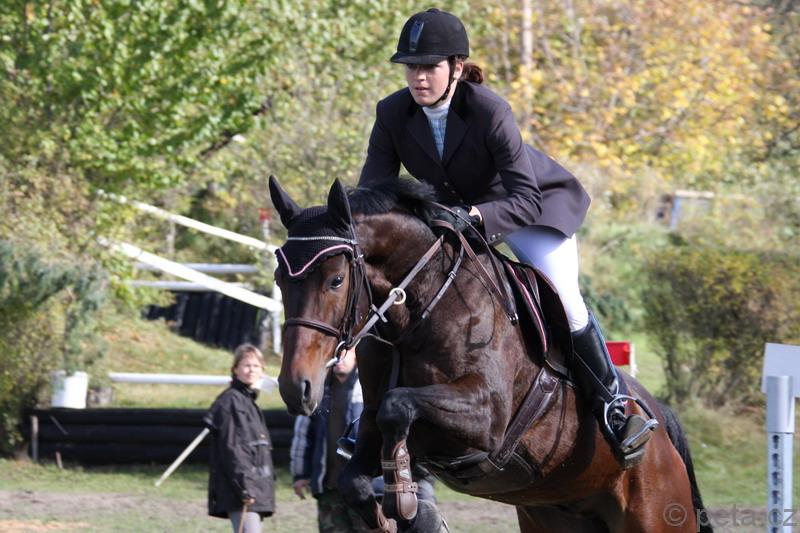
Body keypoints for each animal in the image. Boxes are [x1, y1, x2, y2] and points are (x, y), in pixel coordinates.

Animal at [269, 176, 711, 533]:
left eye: (336, 280)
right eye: (278, 279)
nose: (295, 387)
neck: (420, 306)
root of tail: (659, 423)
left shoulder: (487, 416)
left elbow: (400, 406)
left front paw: (405, 495)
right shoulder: (373, 420)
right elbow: (355, 477)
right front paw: (401, 512)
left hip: (656, 512)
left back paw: (623, 424)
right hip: (552, 515)